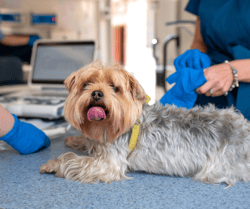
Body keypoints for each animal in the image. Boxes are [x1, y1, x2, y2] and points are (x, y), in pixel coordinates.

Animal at [39, 61, 250, 187]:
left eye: (114, 87)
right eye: (87, 84)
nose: (97, 93)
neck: (107, 126)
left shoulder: (109, 163)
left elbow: (72, 159)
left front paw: (53, 164)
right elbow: (88, 142)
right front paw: (75, 140)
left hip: (218, 167)